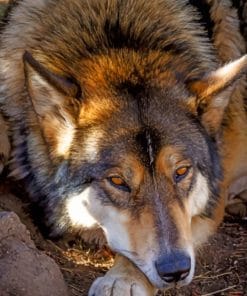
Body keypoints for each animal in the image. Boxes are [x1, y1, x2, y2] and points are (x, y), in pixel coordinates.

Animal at [0, 0, 246, 296]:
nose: (176, 269)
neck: (117, 35)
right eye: (118, 181)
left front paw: (123, 279)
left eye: (181, 172)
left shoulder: (211, 204)